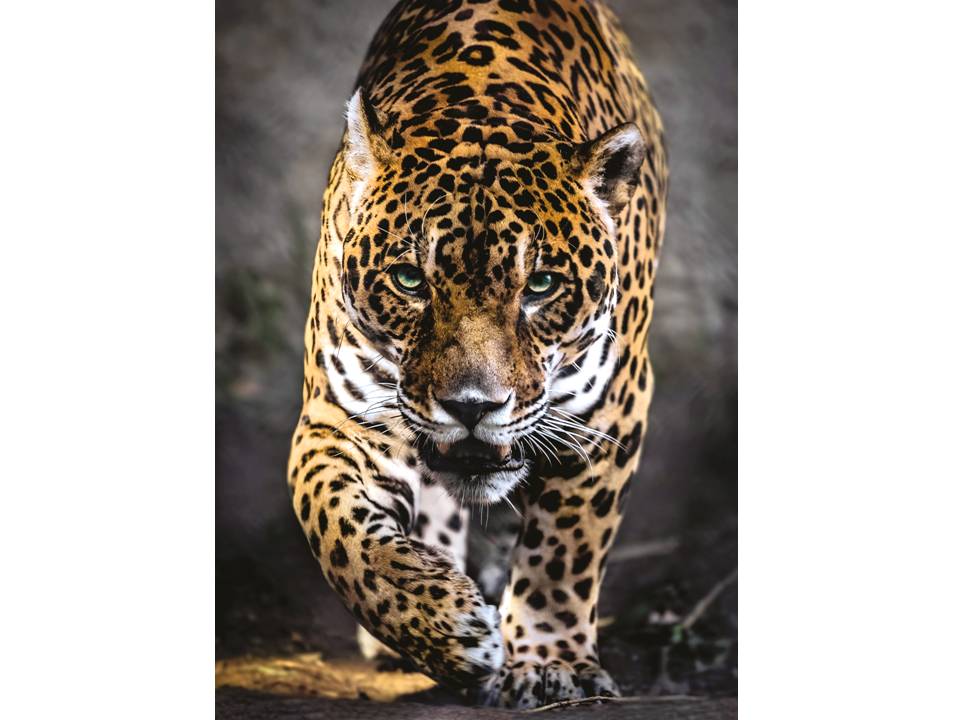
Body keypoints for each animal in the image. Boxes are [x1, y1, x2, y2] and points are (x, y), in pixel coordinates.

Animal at [287, 0, 667, 708]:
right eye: (410, 280)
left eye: (540, 285)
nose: (472, 407)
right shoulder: (338, 417)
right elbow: (338, 530)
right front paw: (445, 628)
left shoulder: (608, 413)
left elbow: (564, 550)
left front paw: (549, 663)